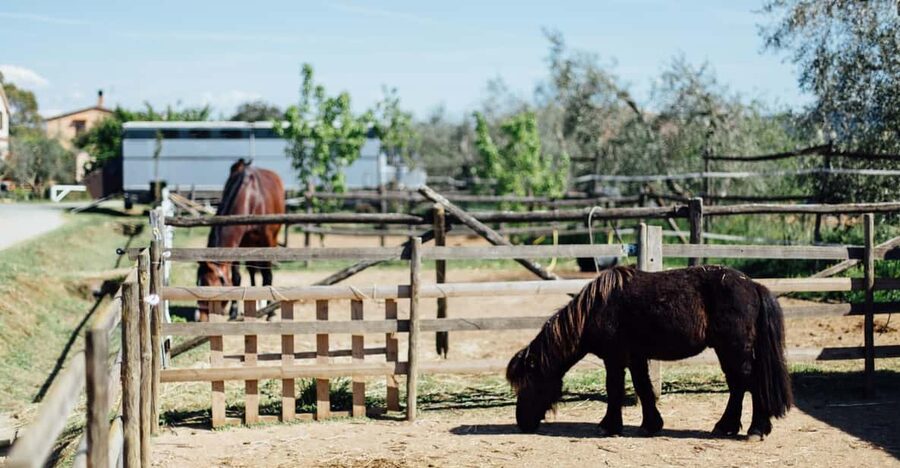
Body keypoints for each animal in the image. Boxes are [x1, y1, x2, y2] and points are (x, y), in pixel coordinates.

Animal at [196, 159, 285, 320]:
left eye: (210, 286)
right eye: (198, 283)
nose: (202, 318)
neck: (250, 198)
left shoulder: (268, 240)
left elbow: (267, 275)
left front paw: (270, 312)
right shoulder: (239, 245)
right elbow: (237, 278)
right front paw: (233, 311)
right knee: (252, 270)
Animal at [506, 265, 792, 441]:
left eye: (530, 384)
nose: (522, 422)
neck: (595, 310)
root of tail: (754, 286)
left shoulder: (615, 359)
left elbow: (615, 389)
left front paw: (610, 426)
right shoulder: (636, 358)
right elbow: (643, 388)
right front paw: (651, 424)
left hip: (735, 350)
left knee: (749, 384)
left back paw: (755, 429)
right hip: (728, 352)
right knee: (738, 387)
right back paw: (726, 427)